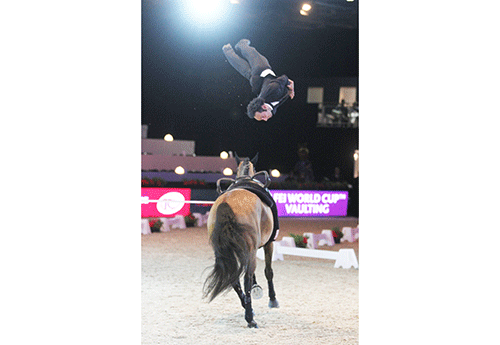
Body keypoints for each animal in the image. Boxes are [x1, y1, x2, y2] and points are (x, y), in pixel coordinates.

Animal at [204, 153, 282, 328]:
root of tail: (226, 202)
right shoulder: (269, 244)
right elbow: (268, 272)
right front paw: (273, 299)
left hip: (223, 251)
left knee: (234, 279)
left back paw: (248, 308)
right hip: (250, 251)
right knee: (246, 278)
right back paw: (250, 318)